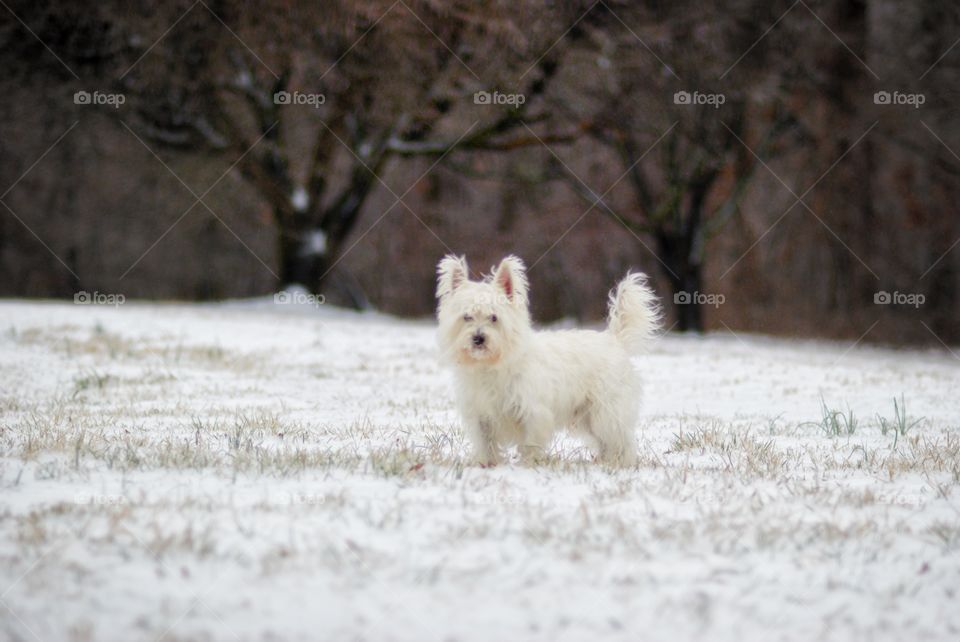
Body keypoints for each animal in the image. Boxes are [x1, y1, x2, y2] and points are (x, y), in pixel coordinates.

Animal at [436, 254, 660, 464]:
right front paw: (486, 463)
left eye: (494, 318)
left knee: (621, 440)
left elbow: (530, 443)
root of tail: (614, 339)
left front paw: (529, 464)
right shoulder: (481, 415)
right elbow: (486, 443)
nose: (478, 338)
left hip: (607, 412)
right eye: (466, 317)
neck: (492, 365)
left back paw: (621, 463)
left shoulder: (533, 413)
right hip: (588, 416)